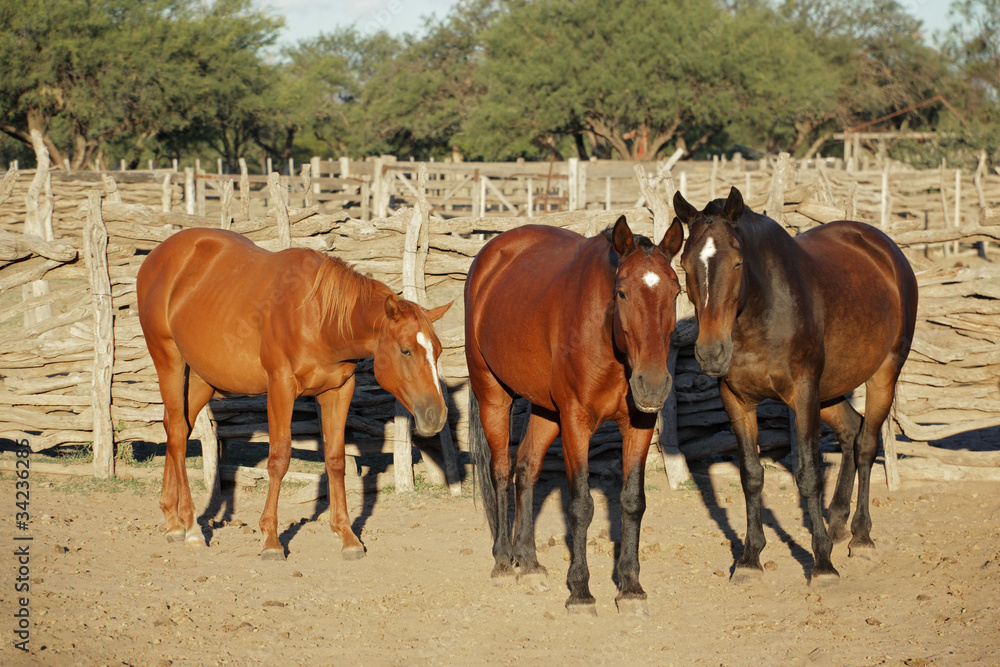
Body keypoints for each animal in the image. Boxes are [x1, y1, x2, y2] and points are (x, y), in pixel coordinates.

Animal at [137, 227, 450, 560]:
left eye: (438, 351)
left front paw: (347, 535)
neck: (319, 317)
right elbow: (279, 458)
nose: (436, 415)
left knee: (177, 431)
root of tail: (158, 257)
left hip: (202, 376)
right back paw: (191, 526)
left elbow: (335, 459)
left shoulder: (339, 390)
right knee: (178, 431)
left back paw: (172, 519)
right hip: (169, 361)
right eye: (406, 350)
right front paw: (271, 539)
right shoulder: (280, 387)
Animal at [464, 215, 684, 616]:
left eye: (676, 293)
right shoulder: (576, 423)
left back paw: (528, 563)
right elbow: (581, 505)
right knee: (501, 471)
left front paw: (631, 588)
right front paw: (580, 591)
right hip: (493, 394)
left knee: (526, 468)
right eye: (622, 293)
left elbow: (633, 502)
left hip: (545, 410)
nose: (653, 384)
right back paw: (503, 561)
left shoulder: (639, 426)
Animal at [676, 187, 916, 584]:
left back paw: (861, 537)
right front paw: (750, 558)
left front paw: (822, 563)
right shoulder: (737, 400)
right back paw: (838, 522)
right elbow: (751, 475)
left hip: (884, 372)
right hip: (830, 390)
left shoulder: (803, 393)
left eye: (737, 263)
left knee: (866, 445)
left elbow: (808, 474)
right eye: (684, 264)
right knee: (851, 431)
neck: (762, 312)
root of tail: (885, 249)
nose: (711, 352)